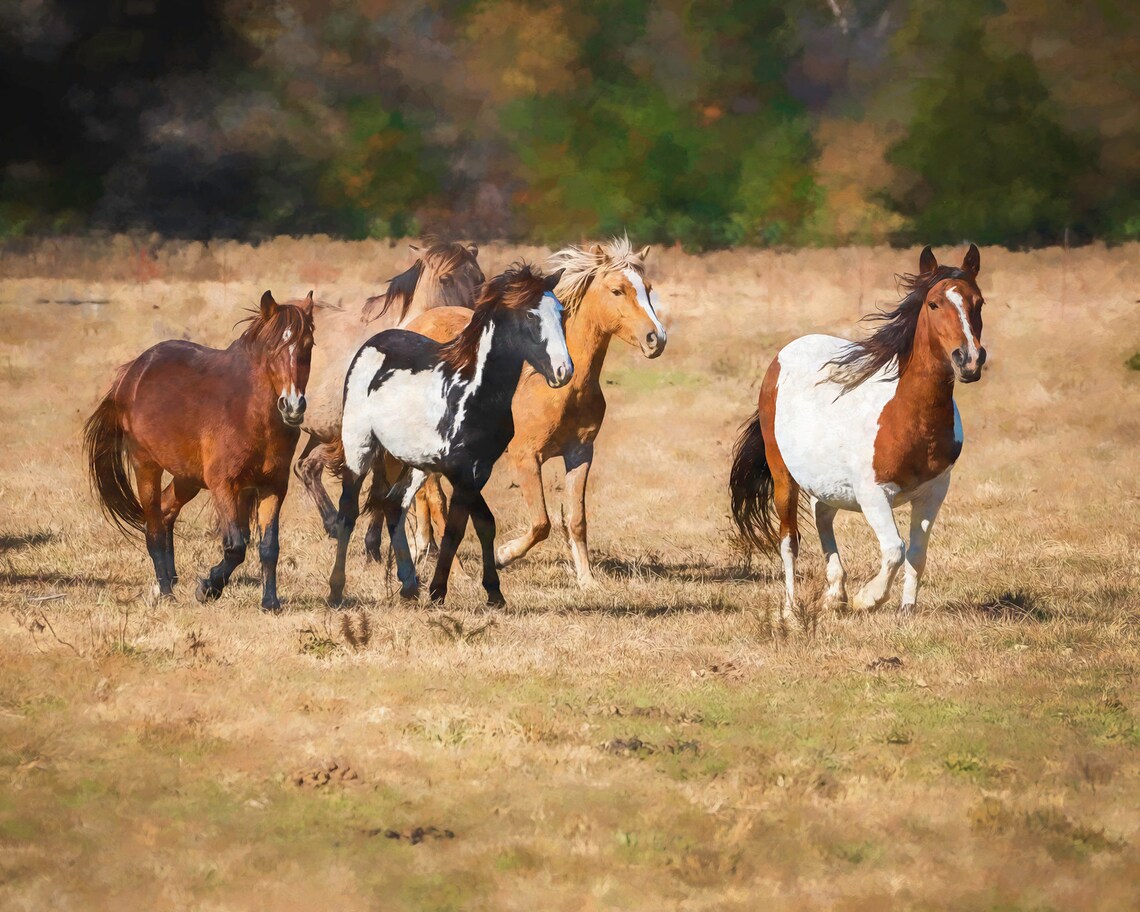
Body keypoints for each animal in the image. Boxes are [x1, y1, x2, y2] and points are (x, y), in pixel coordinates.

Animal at [84, 290, 316, 612]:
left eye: (308, 344)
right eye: (273, 348)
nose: (292, 406)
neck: (248, 411)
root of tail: (131, 373)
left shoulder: (273, 486)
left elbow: (269, 546)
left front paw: (270, 603)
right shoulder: (223, 484)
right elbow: (236, 547)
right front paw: (208, 587)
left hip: (187, 478)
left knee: (166, 511)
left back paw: (167, 582)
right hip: (146, 466)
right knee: (153, 526)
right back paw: (166, 592)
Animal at [327, 263, 572, 608]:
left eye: (561, 313)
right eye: (529, 315)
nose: (564, 371)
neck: (473, 392)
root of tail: (373, 342)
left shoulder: (479, 469)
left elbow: (484, 523)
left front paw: (494, 594)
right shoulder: (459, 470)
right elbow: (456, 528)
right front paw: (438, 592)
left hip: (415, 463)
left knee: (394, 505)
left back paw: (408, 587)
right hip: (359, 448)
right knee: (348, 513)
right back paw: (336, 591)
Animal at [396, 236, 667, 586]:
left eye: (647, 288)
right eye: (617, 290)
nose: (656, 338)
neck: (559, 384)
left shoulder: (581, 453)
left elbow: (576, 519)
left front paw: (587, 580)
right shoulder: (525, 457)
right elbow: (541, 522)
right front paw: (502, 556)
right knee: (437, 503)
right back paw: (458, 574)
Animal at [729, 245, 988, 627]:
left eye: (978, 303)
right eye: (934, 304)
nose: (969, 359)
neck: (908, 416)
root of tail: (782, 356)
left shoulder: (934, 492)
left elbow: (917, 552)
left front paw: (905, 611)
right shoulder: (873, 494)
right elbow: (895, 549)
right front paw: (868, 599)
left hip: (826, 481)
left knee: (822, 514)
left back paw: (835, 594)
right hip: (783, 476)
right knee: (789, 540)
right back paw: (791, 611)